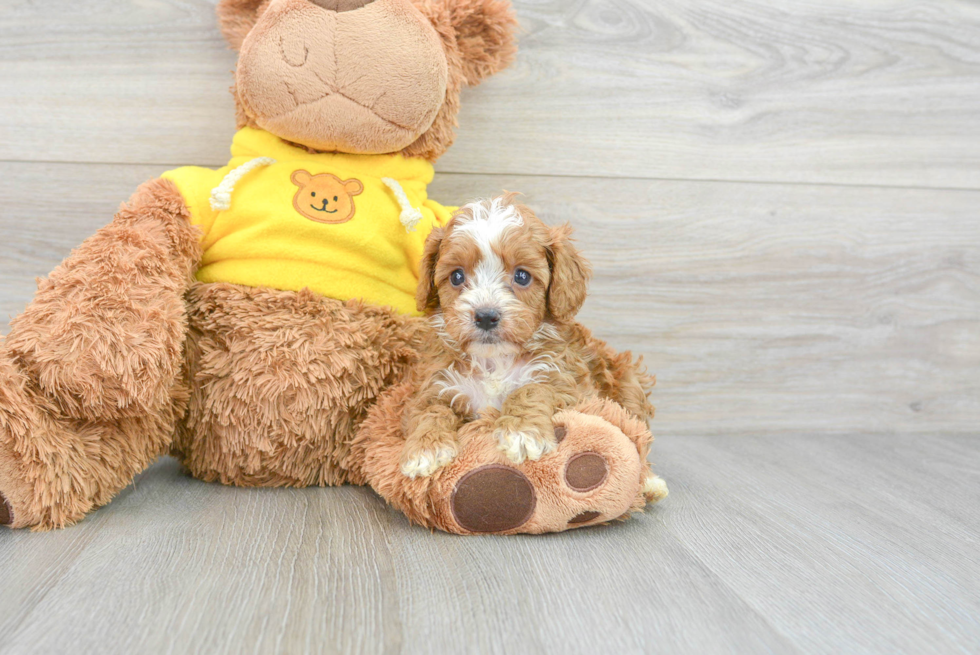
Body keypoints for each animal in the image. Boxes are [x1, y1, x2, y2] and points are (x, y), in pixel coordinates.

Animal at [402, 192, 656, 480]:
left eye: (522, 276)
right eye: (456, 276)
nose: (486, 316)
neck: (494, 359)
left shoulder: (568, 384)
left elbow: (531, 389)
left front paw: (521, 433)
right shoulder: (434, 386)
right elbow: (430, 410)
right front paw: (426, 448)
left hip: (628, 385)